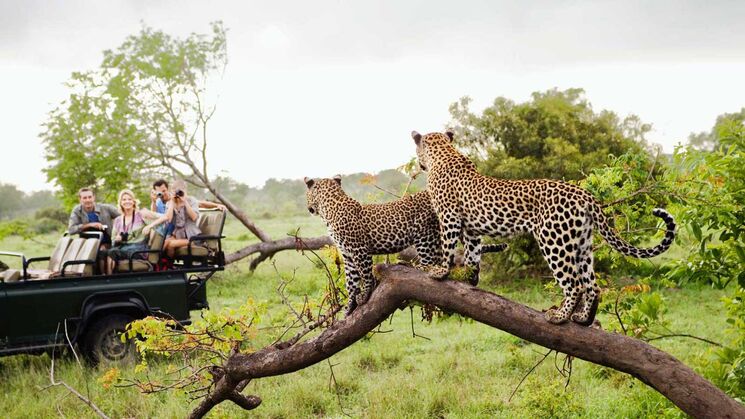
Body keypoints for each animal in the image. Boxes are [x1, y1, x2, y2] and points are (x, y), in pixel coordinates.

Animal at [304, 176, 506, 316]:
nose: (308, 208)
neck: (329, 208)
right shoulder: (347, 254)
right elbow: (351, 281)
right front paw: (349, 307)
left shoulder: (359, 250)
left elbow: (365, 275)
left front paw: (365, 294)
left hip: (425, 235)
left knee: (430, 263)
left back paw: (412, 266)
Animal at [410, 130, 676, 326]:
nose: (419, 164)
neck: (444, 153)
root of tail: (586, 195)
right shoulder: (472, 229)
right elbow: (473, 255)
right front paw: (470, 278)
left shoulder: (449, 217)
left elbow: (448, 246)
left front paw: (440, 271)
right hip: (581, 244)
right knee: (592, 285)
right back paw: (582, 318)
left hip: (554, 240)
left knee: (575, 284)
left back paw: (559, 317)